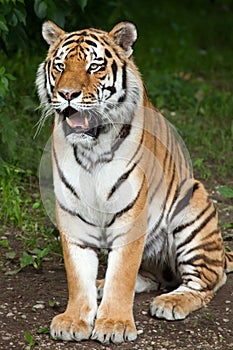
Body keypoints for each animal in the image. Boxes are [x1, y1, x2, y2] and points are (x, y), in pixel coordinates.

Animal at [36, 19, 233, 344]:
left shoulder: (131, 213)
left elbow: (123, 275)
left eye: (94, 66)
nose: (67, 94)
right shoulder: (72, 212)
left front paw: (114, 324)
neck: (92, 148)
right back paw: (101, 285)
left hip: (192, 205)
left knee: (208, 281)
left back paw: (171, 302)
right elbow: (78, 274)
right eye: (61, 66)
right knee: (152, 278)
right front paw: (74, 320)